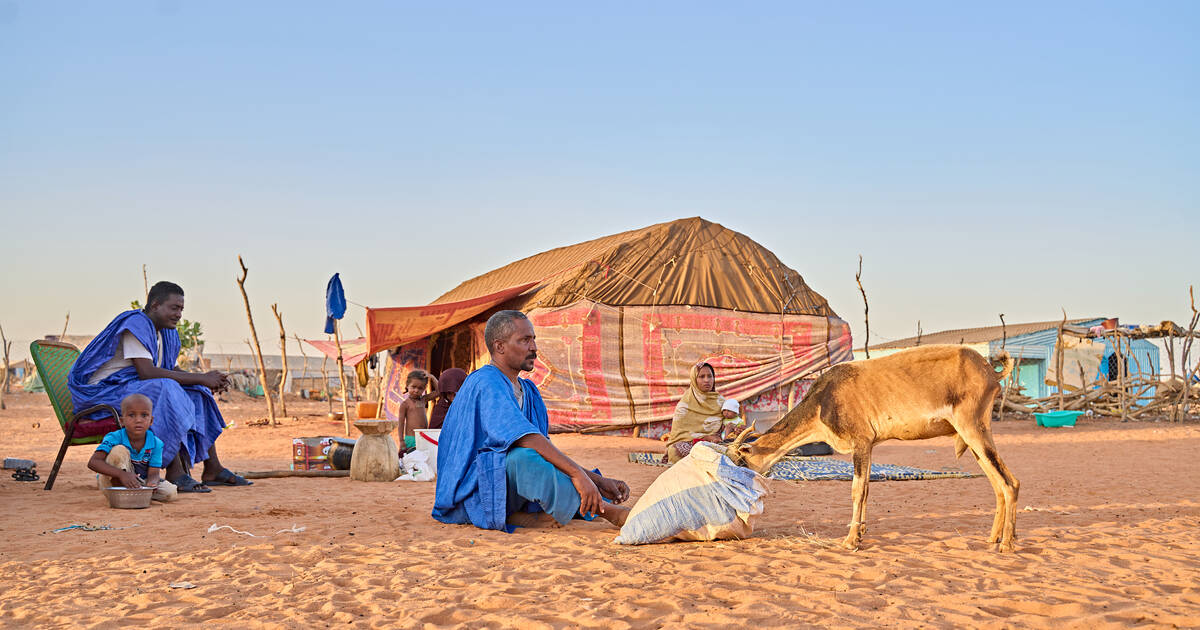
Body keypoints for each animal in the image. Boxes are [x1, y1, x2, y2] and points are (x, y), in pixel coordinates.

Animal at [724, 343, 1017, 549]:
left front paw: (851, 540)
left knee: (1009, 482)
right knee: (998, 484)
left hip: (973, 428)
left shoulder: (860, 442)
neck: (824, 400)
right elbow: (866, 489)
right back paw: (994, 538)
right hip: (974, 437)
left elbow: (857, 490)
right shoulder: (870, 446)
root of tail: (991, 372)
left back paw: (1007, 543)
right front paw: (861, 532)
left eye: (741, 460)